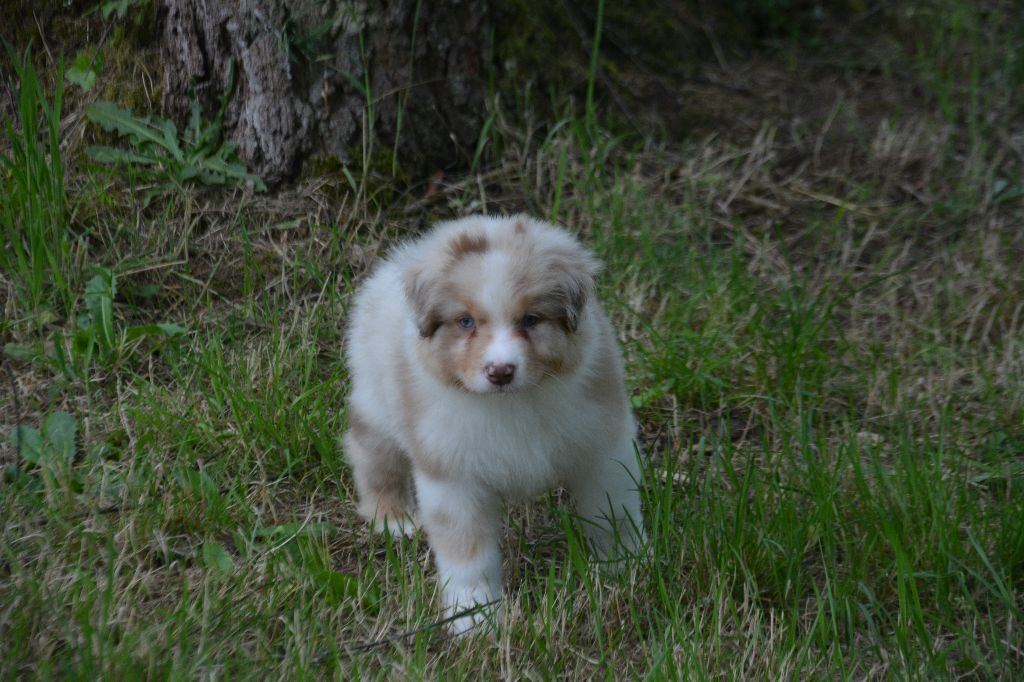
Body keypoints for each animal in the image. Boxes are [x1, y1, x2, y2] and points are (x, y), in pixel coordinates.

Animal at [348, 214, 643, 630]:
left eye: (531, 319)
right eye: (465, 322)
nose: (500, 371)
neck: (510, 405)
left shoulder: (602, 446)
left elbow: (612, 511)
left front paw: (626, 565)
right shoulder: (451, 477)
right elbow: (468, 554)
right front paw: (474, 616)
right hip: (376, 402)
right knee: (370, 454)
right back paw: (392, 518)